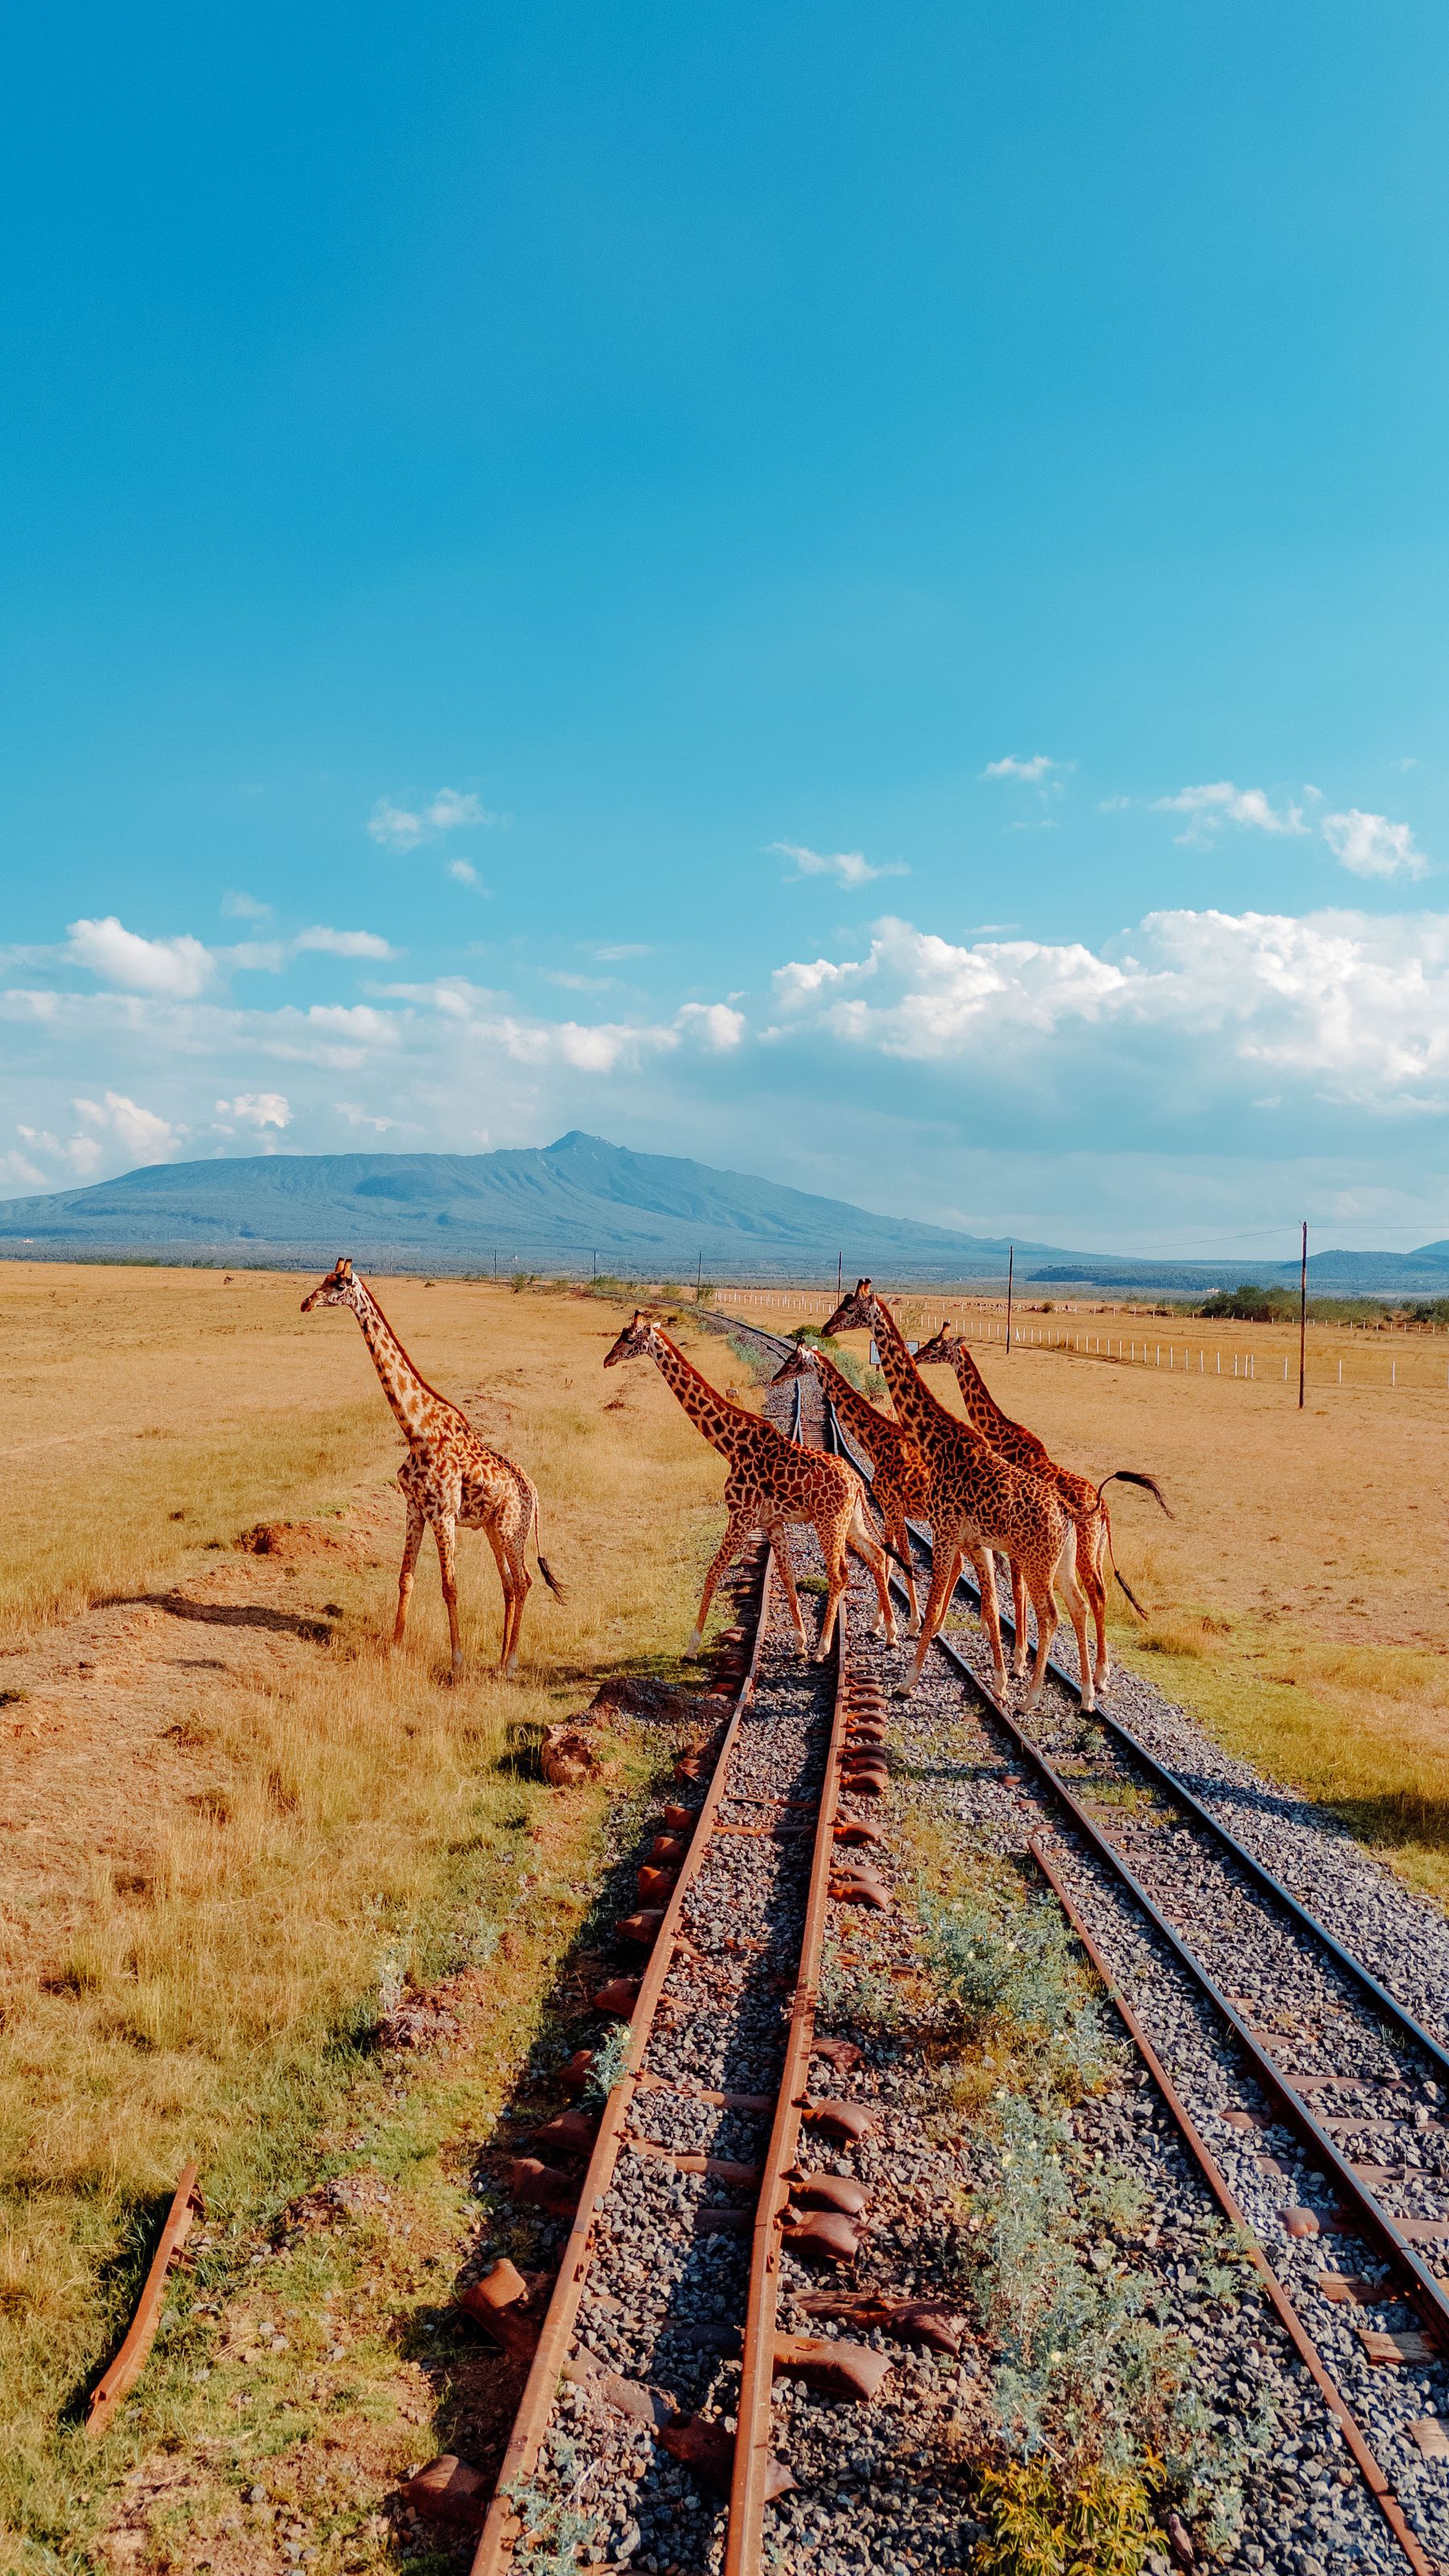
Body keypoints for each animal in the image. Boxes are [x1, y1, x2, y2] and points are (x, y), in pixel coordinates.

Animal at [301, 1258, 562, 1678]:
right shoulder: (414, 1508)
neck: (415, 1430)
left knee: (523, 1582)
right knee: (509, 1584)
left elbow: (449, 1587)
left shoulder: (443, 1514)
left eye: (338, 1284)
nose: (307, 1302)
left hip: (513, 1529)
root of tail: (534, 1492)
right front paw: (394, 1649)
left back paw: (511, 1665)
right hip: (493, 1528)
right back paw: (499, 1660)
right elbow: (406, 1578)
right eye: (324, 1279)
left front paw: (456, 1662)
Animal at [601, 1312, 898, 1660]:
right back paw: (889, 1632)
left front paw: (692, 1646)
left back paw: (825, 1648)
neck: (731, 1444)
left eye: (630, 1338)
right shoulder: (771, 1522)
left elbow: (714, 1571)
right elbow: (787, 1574)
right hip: (851, 1520)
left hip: (829, 1521)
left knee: (840, 1573)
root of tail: (856, 1482)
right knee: (877, 1556)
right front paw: (799, 1642)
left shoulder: (740, 1515)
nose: (608, 1360)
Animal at [768, 1340, 929, 1632]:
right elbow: (888, 1557)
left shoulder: (892, 1505)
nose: (776, 1378)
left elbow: (902, 1557)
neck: (877, 1441)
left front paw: (909, 1624)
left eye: (794, 1360)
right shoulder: (889, 1507)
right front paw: (881, 1624)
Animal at [819, 1281, 1092, 1710]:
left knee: (1051, 1614)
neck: (937, 1442)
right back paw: (1087, 1696)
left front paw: (907, 1676)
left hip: (1036, 1561)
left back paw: (1031, 1697)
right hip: (1060, 1561)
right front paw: (997, 1677)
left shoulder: (942, 1528)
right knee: (1078, 1607)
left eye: (849, 1307)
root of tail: (1066, 1514)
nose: (825, 1328)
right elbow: (980, 1598)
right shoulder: (968, 1537)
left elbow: (925, 1591)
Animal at [913, 1322, 1170, 1692]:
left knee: (1096, 1595)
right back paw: (1097, 1675)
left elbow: (1017, 1590)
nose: (917, 1355)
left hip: (1082, 1552)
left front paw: (1019, 1661)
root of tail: (1104, 1509)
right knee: (1100, 1595)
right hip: (1096, 1551)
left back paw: (1099, 1676)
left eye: (936, 1346)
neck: (1004, 1441)